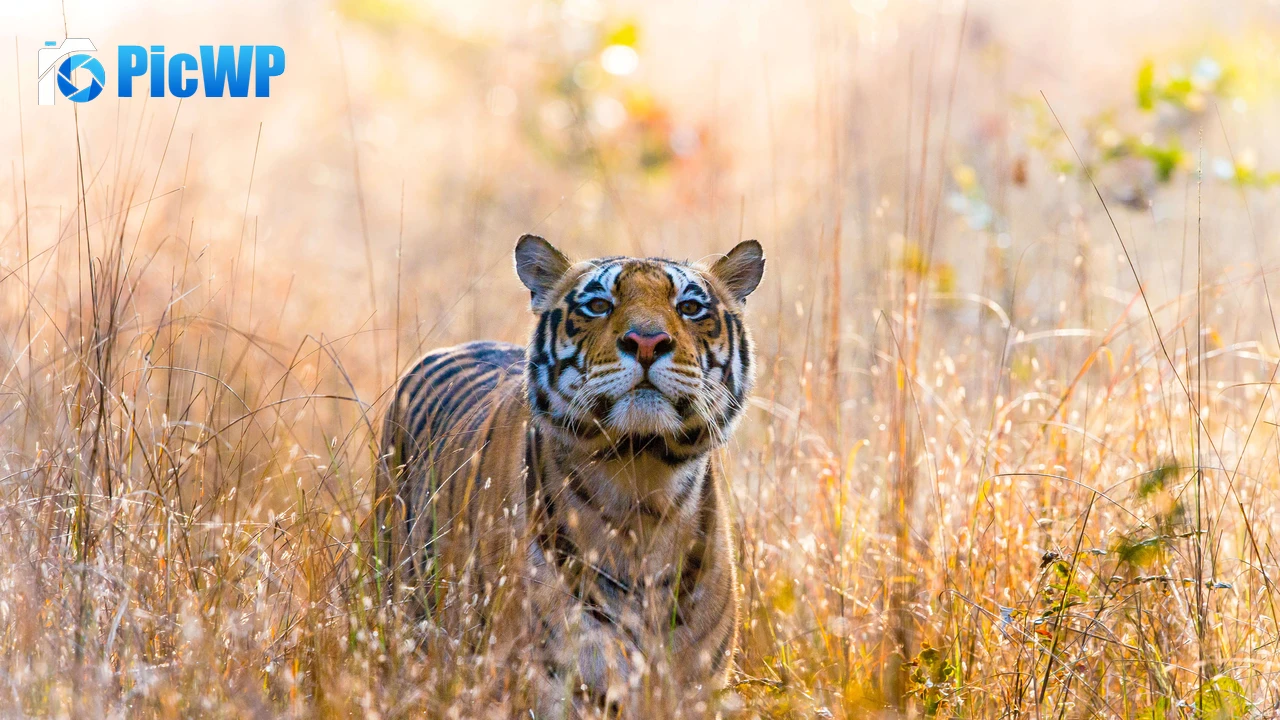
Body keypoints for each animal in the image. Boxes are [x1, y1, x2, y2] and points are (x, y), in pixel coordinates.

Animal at [377, 235, 765, 717]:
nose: (647, 341)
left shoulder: (692, 687)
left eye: (690, 307)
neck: (641, 489)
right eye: (598, 305)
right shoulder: (553, 677)